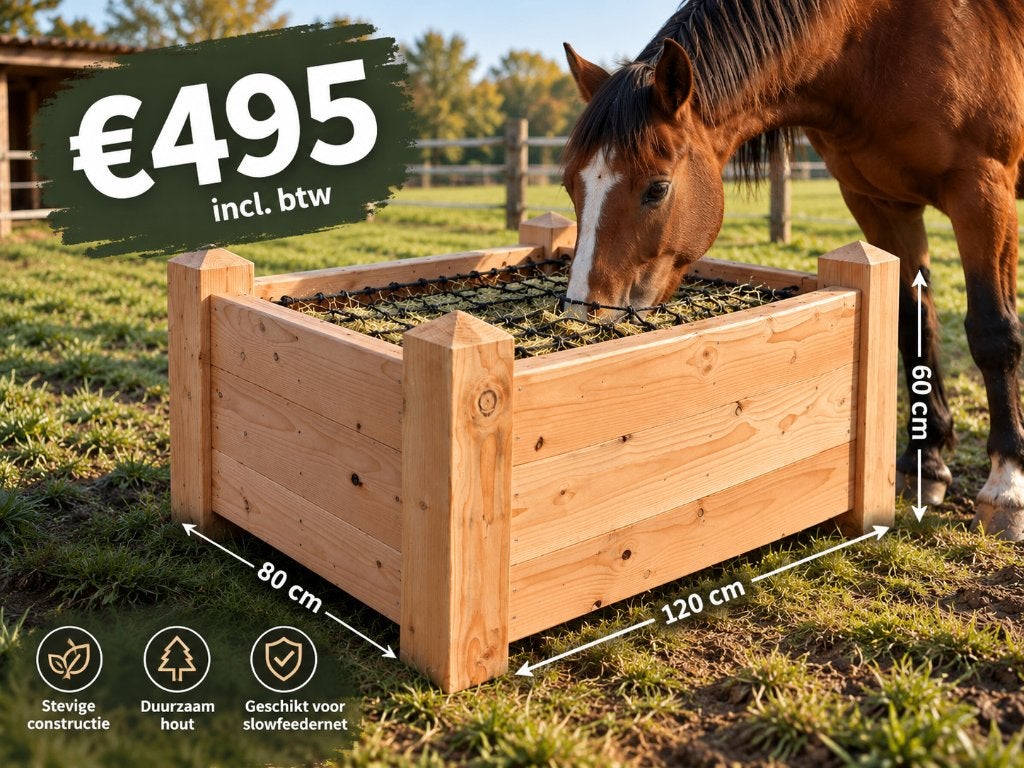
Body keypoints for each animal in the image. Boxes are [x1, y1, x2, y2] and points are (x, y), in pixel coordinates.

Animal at [560, 0, 1024, 541]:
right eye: (571, 185)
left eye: (657, 188)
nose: (585, 316)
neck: (884, 42)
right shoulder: (880, 204)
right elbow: (916, 328)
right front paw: (925, 465)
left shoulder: (983, 191)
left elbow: (993, 333)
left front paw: (1006, 486)